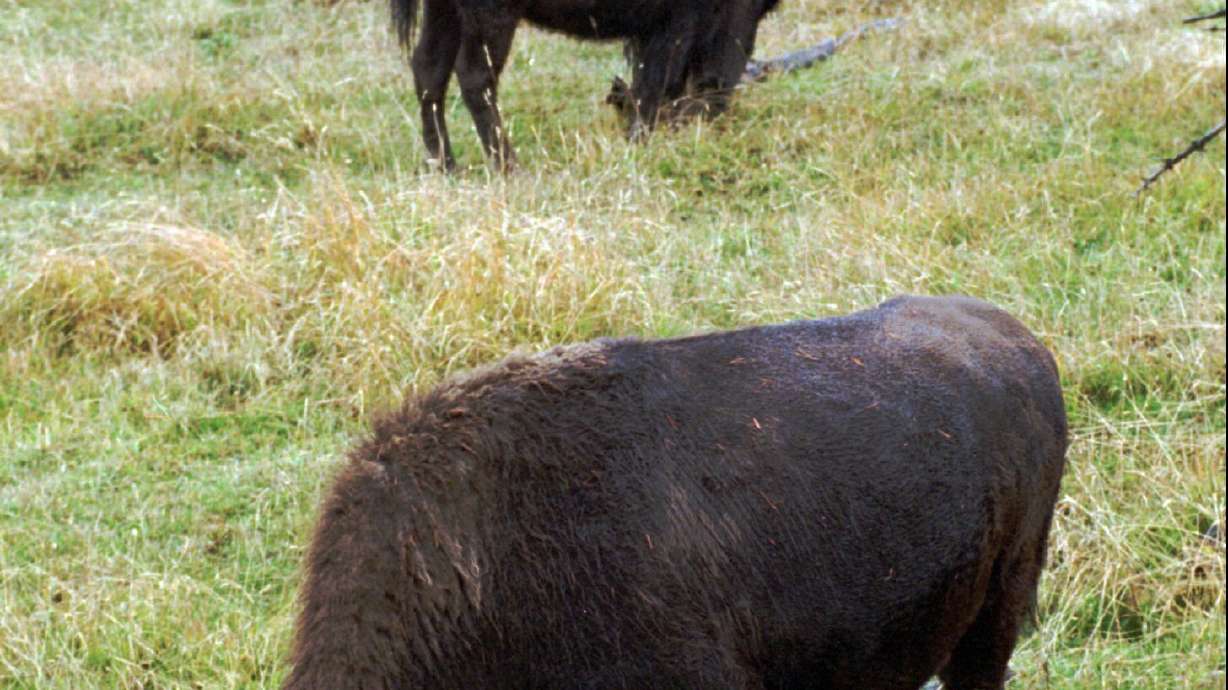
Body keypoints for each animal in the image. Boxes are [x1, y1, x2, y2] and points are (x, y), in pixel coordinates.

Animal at [392, 0, 782, 170]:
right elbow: (662, 83)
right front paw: (640, 145)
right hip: (490, 18)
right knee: (474, 77)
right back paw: (510, 166)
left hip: (445, 12)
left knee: (429, 70)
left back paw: (445, 165)